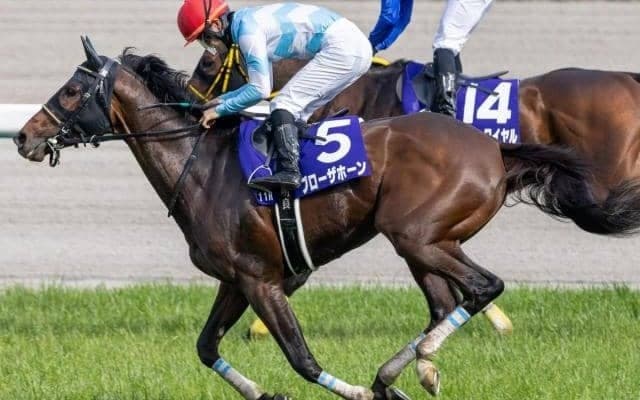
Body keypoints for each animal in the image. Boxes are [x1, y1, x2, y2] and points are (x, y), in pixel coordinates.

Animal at [14, 38, 633, 400]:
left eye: (71, 91)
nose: (23, 136)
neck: (200, 165)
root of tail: (494, 147)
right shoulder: (238, 279)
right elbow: (207, 347)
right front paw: (265, 393)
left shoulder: (263, 279)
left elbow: (302, 358)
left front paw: (352, 391)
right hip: (424, 242)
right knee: (446, 303)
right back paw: (407, 372)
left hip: (416, 236)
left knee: (483, 287)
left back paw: (397, 373)